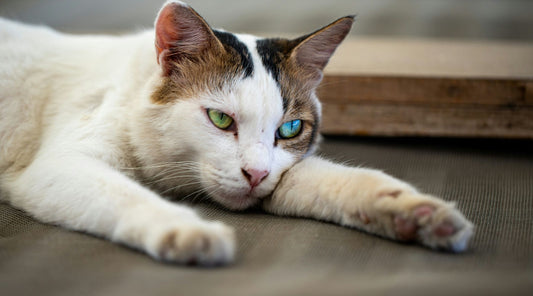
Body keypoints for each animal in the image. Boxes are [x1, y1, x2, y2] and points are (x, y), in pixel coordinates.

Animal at [1, 0, 474, 266]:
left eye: (290, 128)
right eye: (221, 120)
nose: (256, 175)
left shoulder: (279, 177)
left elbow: (333, 181)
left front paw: (415, 212)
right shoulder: (59, 166)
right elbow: (125, 194)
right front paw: (184, 230)